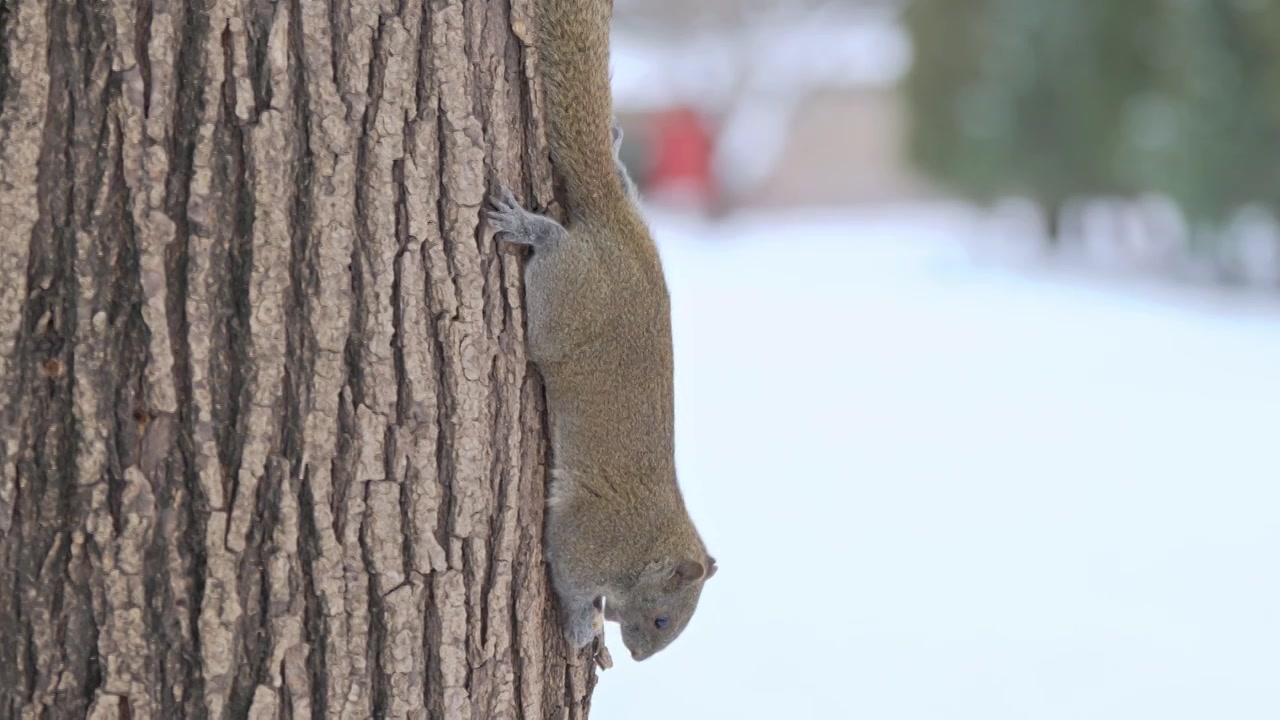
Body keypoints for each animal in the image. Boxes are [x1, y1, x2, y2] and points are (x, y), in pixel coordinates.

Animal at [481, 0, 716, 661]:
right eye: (663, 619)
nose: (638, 656)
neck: (646, 541)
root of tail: (618, 232)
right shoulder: (589, 540)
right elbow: (568, 580)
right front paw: (580, 624)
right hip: (568, 296)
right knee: (555, 250)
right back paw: (531, 226)